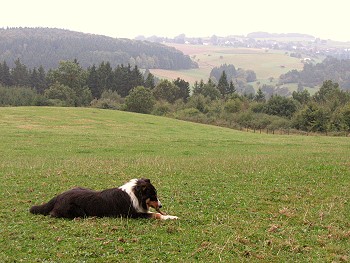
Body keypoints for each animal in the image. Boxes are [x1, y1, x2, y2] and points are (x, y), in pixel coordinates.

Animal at [29, 179, 178, 221]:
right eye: (153, 195)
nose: (161, 205)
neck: (135, 194)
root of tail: (58, 196)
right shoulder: (131, 214)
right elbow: (155, 214)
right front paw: (169, 217)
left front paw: (172, 216)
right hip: (77, 211)